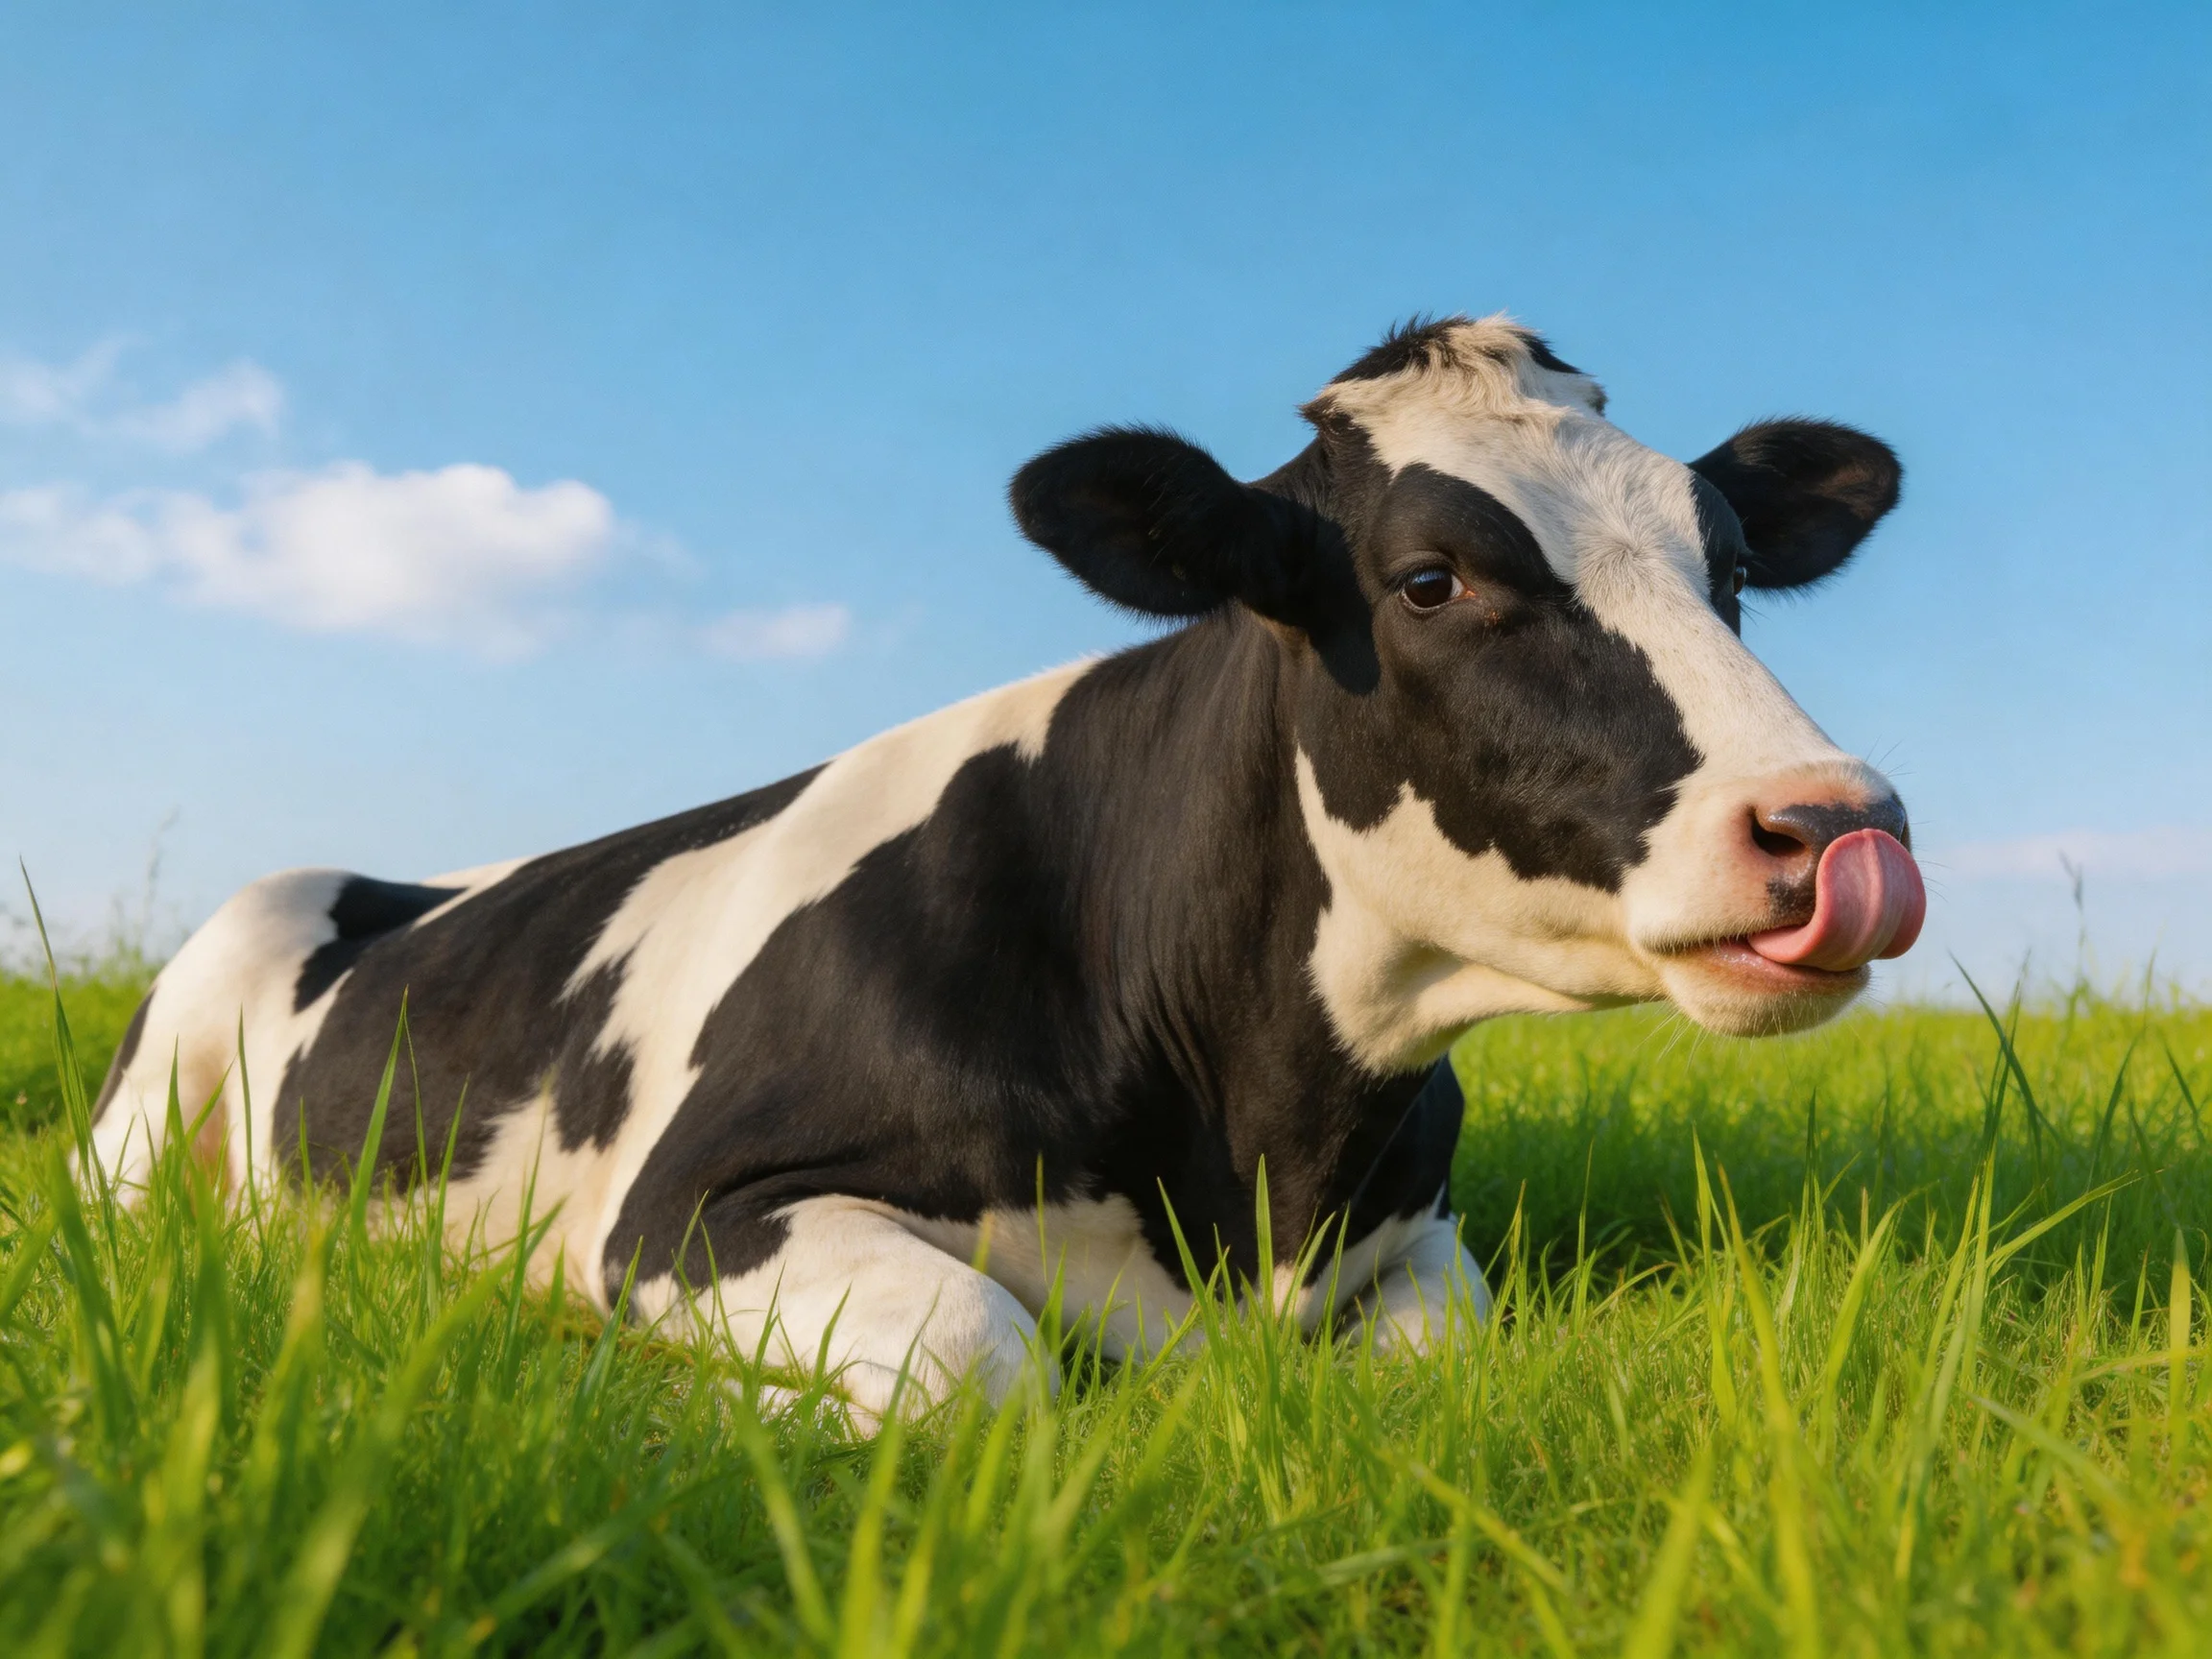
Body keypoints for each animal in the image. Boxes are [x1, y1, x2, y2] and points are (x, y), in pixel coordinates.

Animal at [90, 315, 1925, 1421]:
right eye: (1428, 579)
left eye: (1731, 571)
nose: (1836, 825)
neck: (1260, 1154)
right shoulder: (685, 1206)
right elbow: (981, 1359)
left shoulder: (1416, 1240)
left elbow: (1442, 1356)